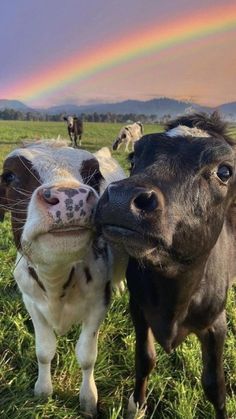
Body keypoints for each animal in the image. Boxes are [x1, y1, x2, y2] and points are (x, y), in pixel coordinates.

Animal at [0, 140, 127, 416]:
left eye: (95, 175)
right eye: (9, 176)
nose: (71, 197)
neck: (56, 282)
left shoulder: (99, 303)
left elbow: (87, 356)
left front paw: (88, 399)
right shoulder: (31, 303)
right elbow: (44, 351)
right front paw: (43, 390)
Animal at [96, 113, 236, 418]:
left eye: (225, 171)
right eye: (134, 157)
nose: (122, 198)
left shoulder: (216, 323)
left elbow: (215, 385)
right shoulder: (139, 309)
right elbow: (145, 360)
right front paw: (137, 405)